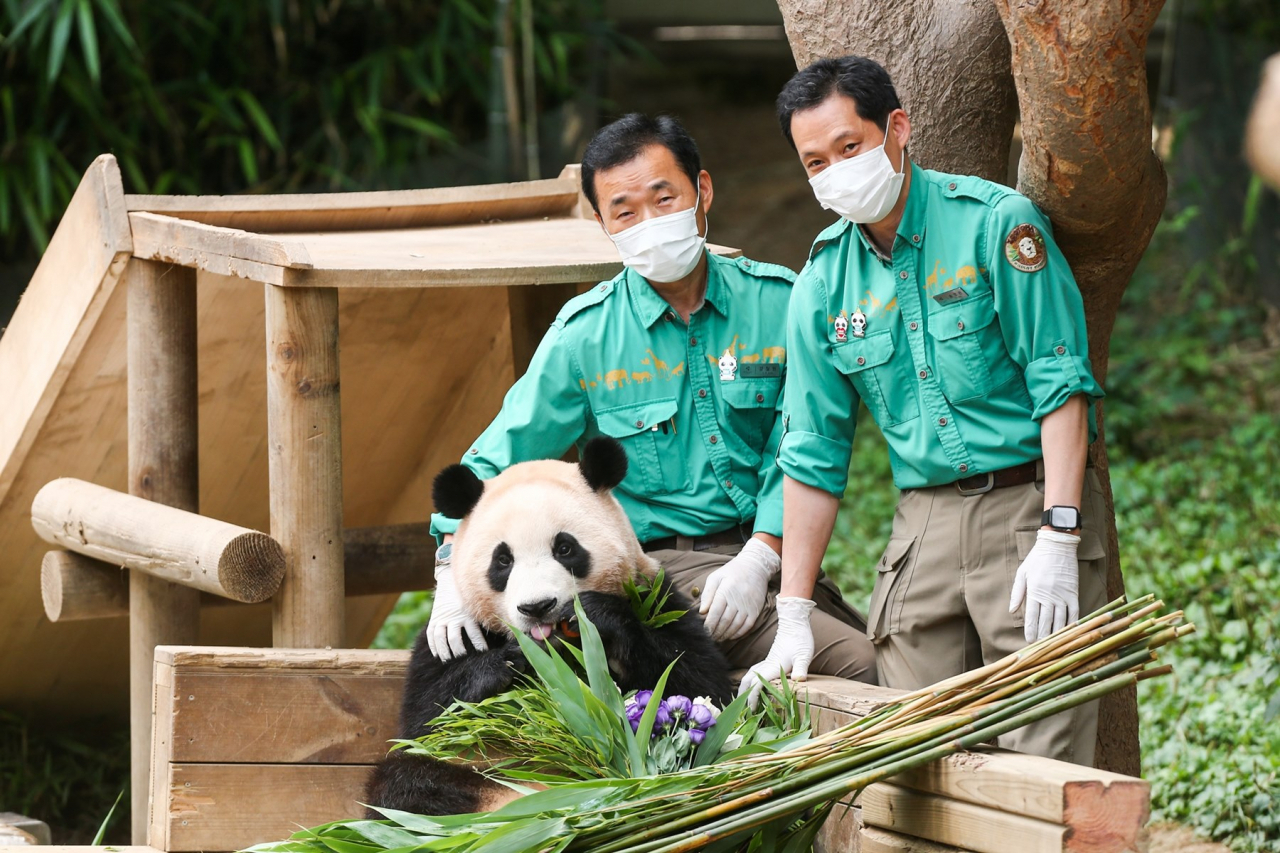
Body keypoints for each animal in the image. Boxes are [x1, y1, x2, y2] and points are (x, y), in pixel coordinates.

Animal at [366, 435, 737, 814]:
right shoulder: (454, 636)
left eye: (565, 548)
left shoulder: (655, 598)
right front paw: (509, 660)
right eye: (503, 560)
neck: (559, 647)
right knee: (408, 779)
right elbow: (426, 717)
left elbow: (697, 685)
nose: (537, 607)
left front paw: (598, 616)